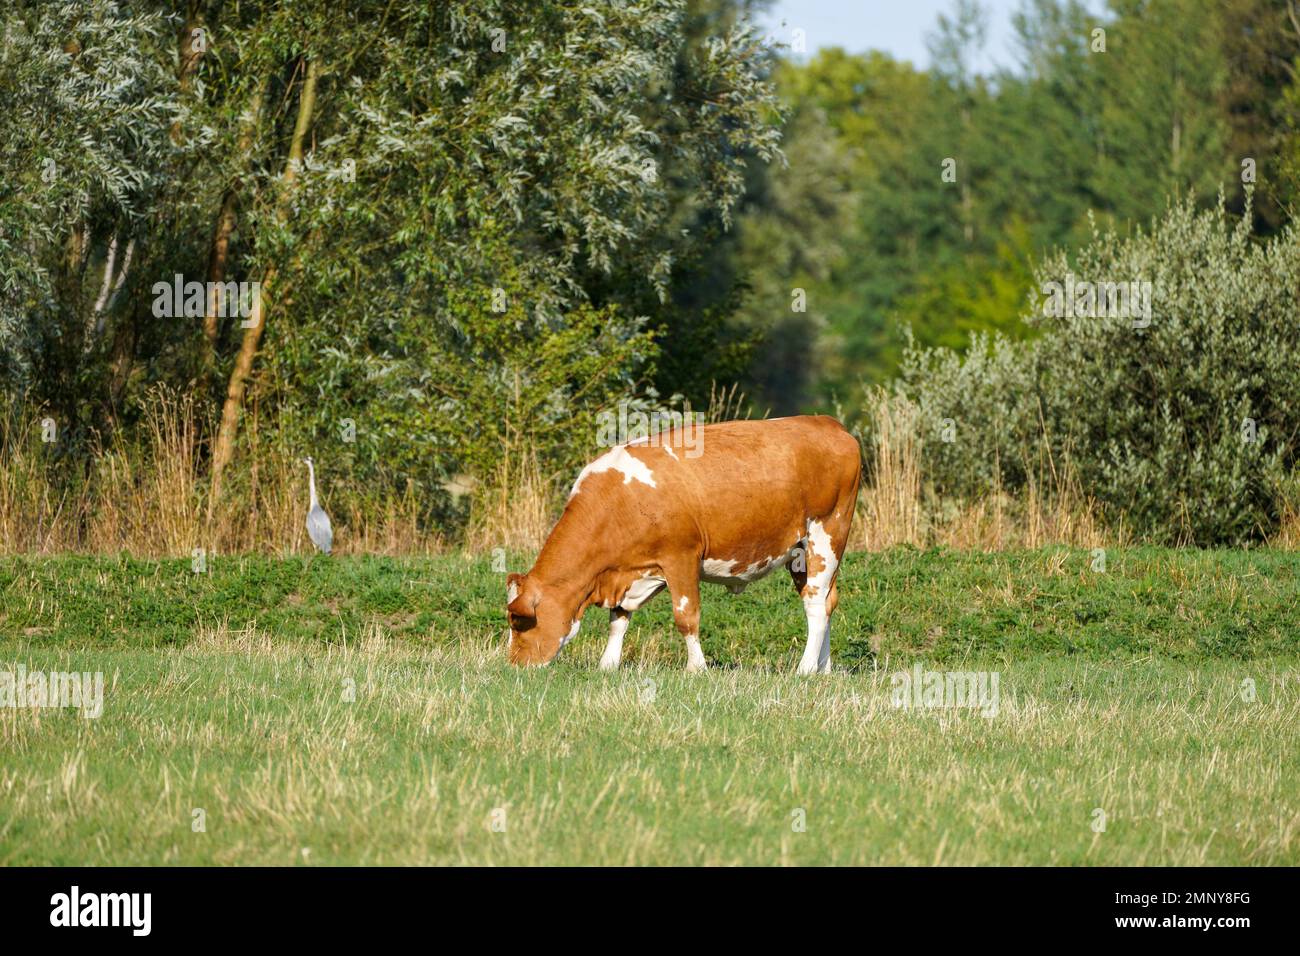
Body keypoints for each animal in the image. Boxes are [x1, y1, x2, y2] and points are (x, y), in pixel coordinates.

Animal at [506, 415, 862, 674]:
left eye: (518, 621)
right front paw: (608, 664)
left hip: (827, 533)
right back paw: (824, 668)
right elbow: (619, 618)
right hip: (800, 551)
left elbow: (686, 616)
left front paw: (696, 668)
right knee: (828, 600)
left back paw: (805, 669)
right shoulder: (629, 570)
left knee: (815, 603)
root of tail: (827, 423)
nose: (515, 666)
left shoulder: (681, 557)